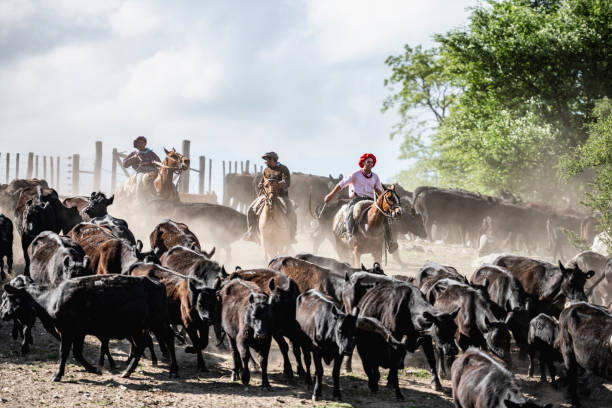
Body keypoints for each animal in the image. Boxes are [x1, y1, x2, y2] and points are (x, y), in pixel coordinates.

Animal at [2, 274, 178, 382]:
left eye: (10, 297)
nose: (3, 314)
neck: (51, 298)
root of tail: (157, 282)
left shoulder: (67, 331)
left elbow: (64, 352)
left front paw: (58, 375)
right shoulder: (78, 333)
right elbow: (77, 353)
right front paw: (94, 369)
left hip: (158, 322)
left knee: (169, 340)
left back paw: (173, 370)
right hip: (137, 328)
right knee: (140, 345)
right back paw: (128, 371)